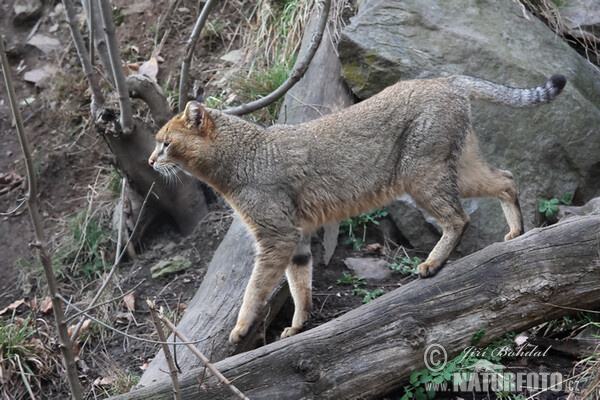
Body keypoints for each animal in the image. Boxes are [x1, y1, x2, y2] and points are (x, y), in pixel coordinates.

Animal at [149, 73, 568, 342]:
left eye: (166, 143)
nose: (151, 161)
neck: (240, 160)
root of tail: (447, 79)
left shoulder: (275, 236)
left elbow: (255, 287)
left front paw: (240, 329)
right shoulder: (296, 237)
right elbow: (300, 284)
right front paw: (298, 325)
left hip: (422, 175)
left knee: (459, 217)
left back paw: (433, 263)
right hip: (457, 167)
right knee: (507, 178)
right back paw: (515, 231)